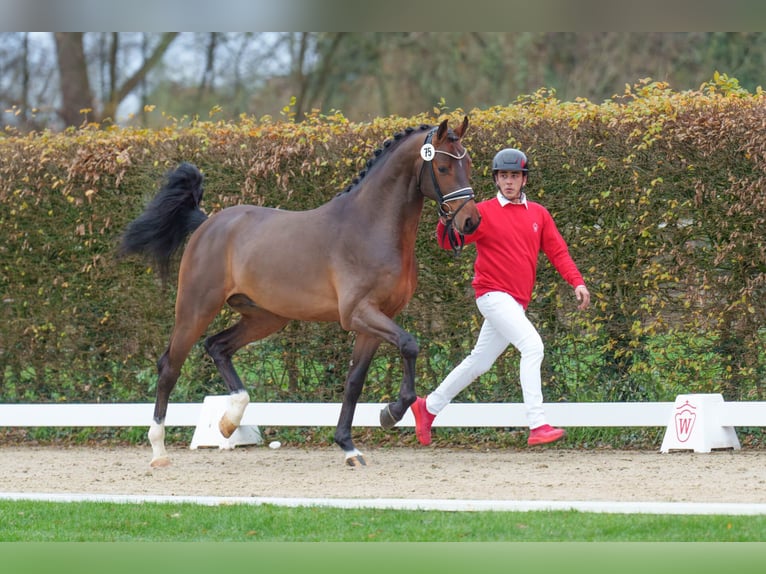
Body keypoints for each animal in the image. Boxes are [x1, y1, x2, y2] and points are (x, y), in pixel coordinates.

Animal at [119, 116, 480, 468]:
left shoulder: (376, 320)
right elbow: (409, 345)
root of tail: (207, 223)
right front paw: (390, 413)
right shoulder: (359, 313)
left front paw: (349, 446)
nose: (470, 221)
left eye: (469, 164)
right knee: (170, 366)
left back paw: (229, 421)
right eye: (443, 168)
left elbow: (354, 381)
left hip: (265, 317)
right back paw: (159, 451)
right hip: (196, 307)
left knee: (217, 346)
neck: (370, 227)